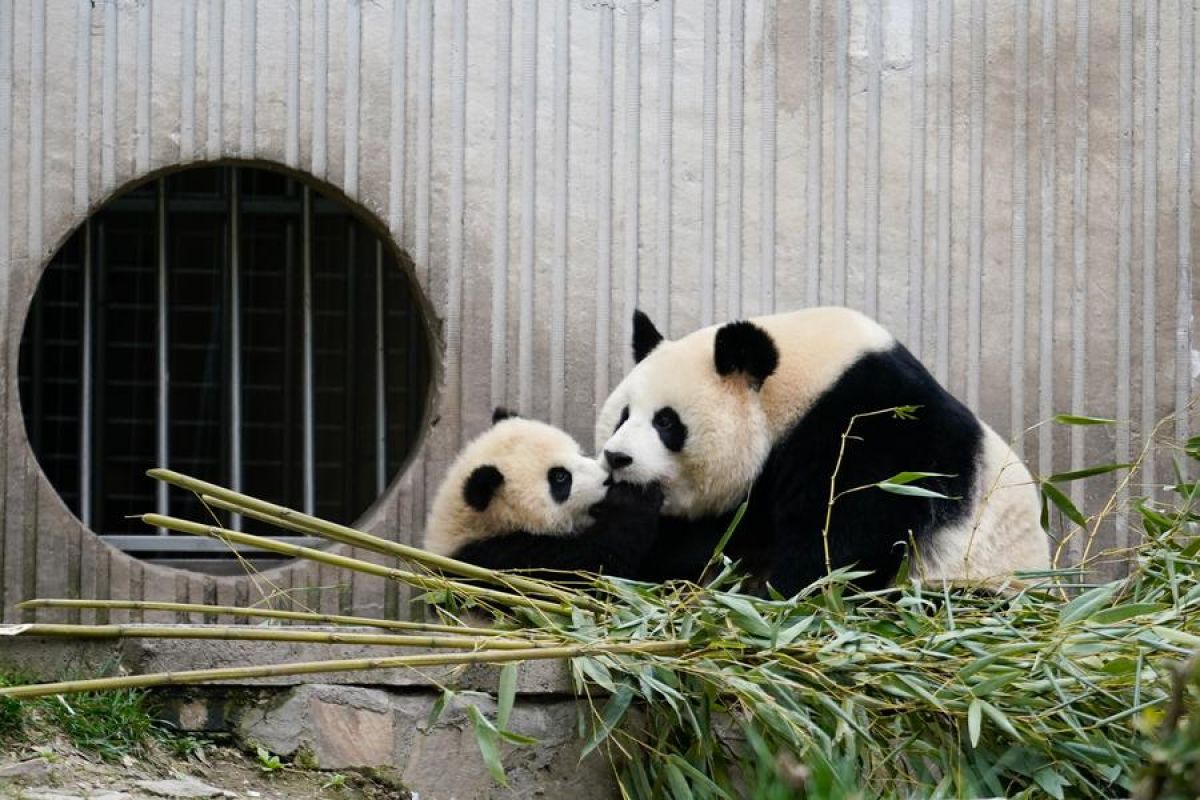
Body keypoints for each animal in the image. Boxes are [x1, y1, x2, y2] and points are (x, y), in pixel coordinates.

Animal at [423, 408, 663, 582]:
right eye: (560, 477)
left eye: (579, 452)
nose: (608, 479)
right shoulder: (502, 563)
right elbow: (590, 569)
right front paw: (635, 498)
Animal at [596, 307, 1050, 595]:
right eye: (622, 416)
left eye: (666, 422)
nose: (617, 458)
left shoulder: (870, 430)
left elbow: (842, 541)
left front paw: (767, 595)